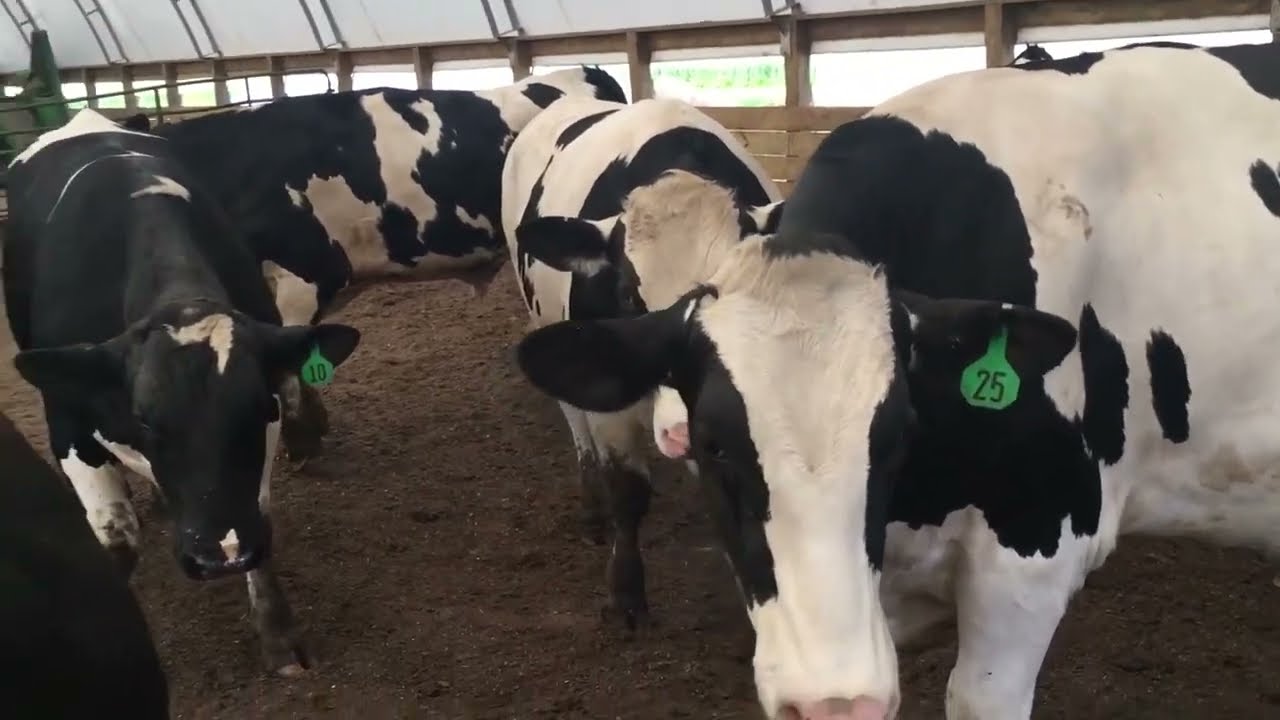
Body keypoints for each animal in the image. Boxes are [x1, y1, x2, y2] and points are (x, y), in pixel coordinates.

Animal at [3, 108, 362, 677]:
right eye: (145, 418)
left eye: (257, 408)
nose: (218, 555)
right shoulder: (67, 420)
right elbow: (116, 538)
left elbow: (256, 518)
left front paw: (278, 635)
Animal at [502, 95, 784, 629]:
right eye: (631, 297)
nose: (682, 431)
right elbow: (628, 492)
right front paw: (626, 592)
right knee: (575, 423)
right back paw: (591, 507)